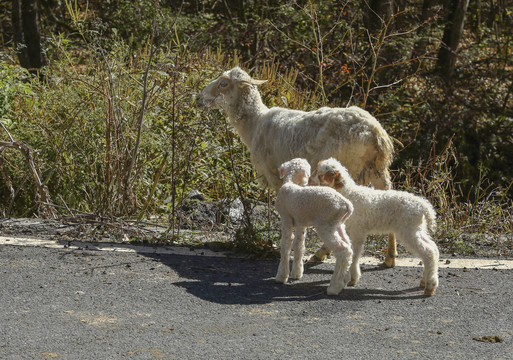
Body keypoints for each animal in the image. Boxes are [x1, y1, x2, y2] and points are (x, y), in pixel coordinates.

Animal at [195, 66, 396, 268]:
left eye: (223, 83)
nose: (198, 98)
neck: (254, 124)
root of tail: (376, 133)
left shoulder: (274, 175)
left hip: (350, 167)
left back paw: (321, 253)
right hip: (379, 171)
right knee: (390, 197)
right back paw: (390, 257)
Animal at [274, 158, 354, 296]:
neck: (291, 182)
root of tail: (346, 204)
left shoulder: (286, 219)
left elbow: (285, 246)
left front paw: (281, 276)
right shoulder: (301, 223)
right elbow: (299, 246)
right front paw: (297, 273)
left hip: (325, 225)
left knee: (343, 250)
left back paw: (334, 287)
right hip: (338, 225)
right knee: (349, 248)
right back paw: (345, 280)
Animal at [310, 158, 438, 296]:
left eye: (320, 174)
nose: (310, 181)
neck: (349, 194)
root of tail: (425, 206)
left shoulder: (358, 231)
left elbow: (355, 254)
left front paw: (352, 278)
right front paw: (351, 278)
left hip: (409, 230)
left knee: (429, 252)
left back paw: (430, 287)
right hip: (418, 229)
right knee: (433, 248)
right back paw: (425, 281)